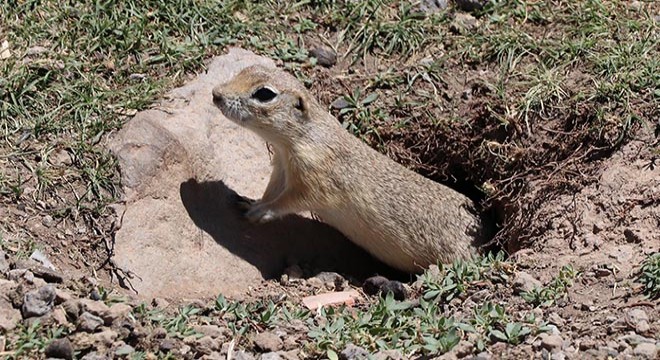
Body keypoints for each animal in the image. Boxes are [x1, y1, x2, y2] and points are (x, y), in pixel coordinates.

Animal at [213, 65, 490, 272]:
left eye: (264, 94)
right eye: (244, 70)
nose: (216, 94)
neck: (298, 140)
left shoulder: (316, 176)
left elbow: (293, 200)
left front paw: (260, 212)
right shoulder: (281, 169)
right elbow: (272, 191)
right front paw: (251, 201)